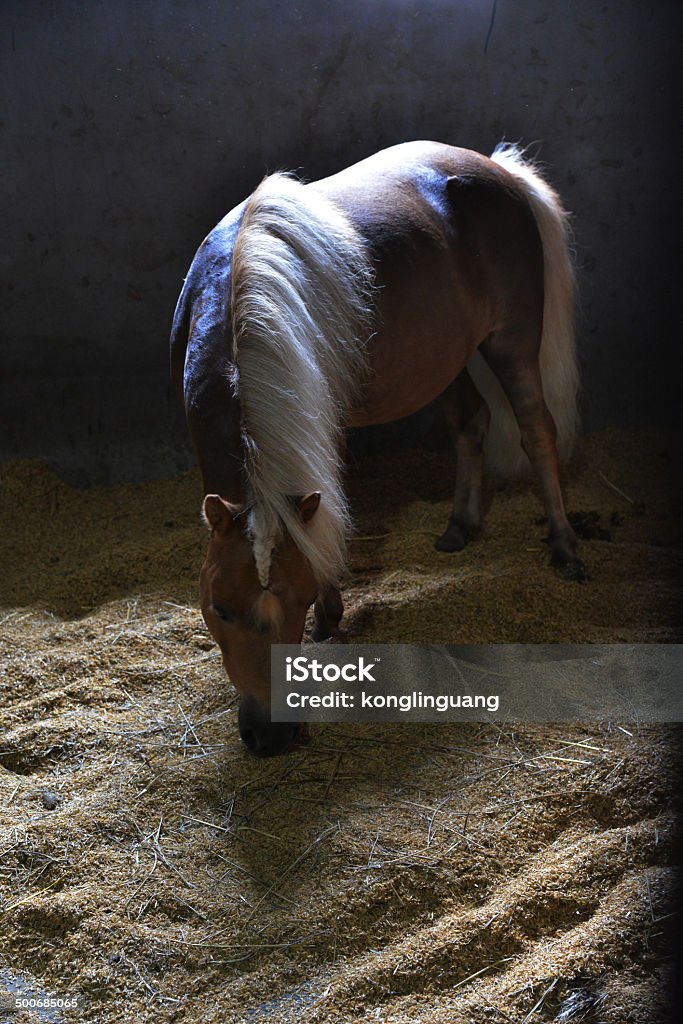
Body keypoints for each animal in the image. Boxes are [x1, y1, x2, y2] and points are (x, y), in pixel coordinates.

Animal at [169, 140, 581, 757]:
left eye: (298, 597)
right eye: (219, 607)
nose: (271, 736)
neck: (246, 298)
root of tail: (500, 169)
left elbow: (325, 517)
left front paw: (330, 616)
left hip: (511, 342)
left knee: (536, 431)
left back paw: (564, 546)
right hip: (447, 358)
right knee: (472, 424)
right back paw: (460, 526)